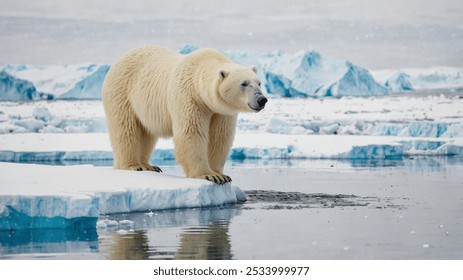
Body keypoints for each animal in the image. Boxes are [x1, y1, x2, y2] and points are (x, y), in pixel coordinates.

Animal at [101, 46, 268, 185]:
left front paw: (221, 174)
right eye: (244, 83)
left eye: (259, 83)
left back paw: (149, 165)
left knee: (146, 132)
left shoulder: (221, 111)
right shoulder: (189, 98)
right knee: (126, 128)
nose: (262, 99)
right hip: (122, 92)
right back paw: (134, 165)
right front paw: (209, 175)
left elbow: (220, 137)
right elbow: (191, 133)